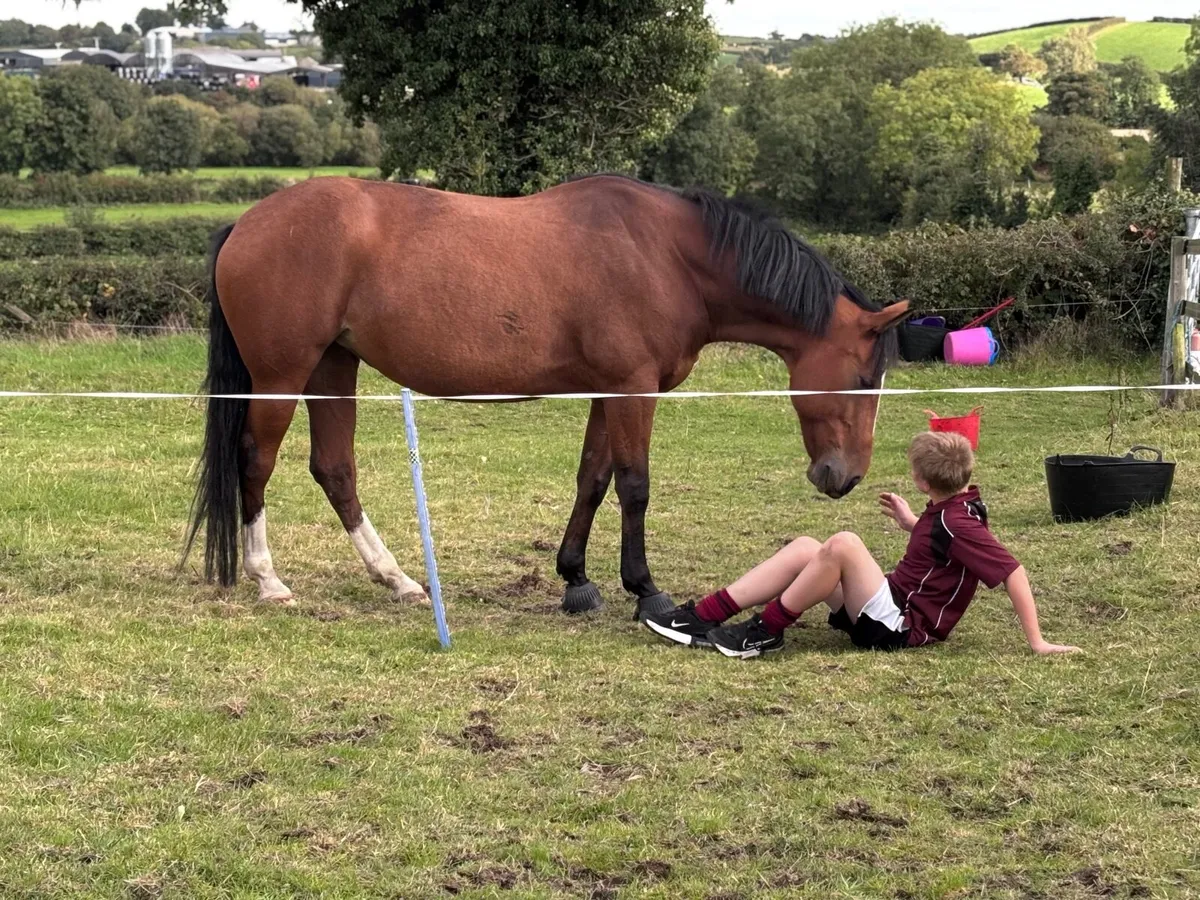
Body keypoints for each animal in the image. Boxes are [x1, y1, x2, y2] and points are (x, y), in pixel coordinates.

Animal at [182, 174, 909, 621]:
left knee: (334, 469)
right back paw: (269, 580)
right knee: (256, 461)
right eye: (862, 379)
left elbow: (593, 479)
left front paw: (576, 579)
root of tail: (246, 224)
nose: (844, 477)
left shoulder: (608, 390)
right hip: (285, 373)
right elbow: (635, 484)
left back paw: (398, 578)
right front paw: (645, 591)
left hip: (335, 366)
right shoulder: (633, 388)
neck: (668, 255)